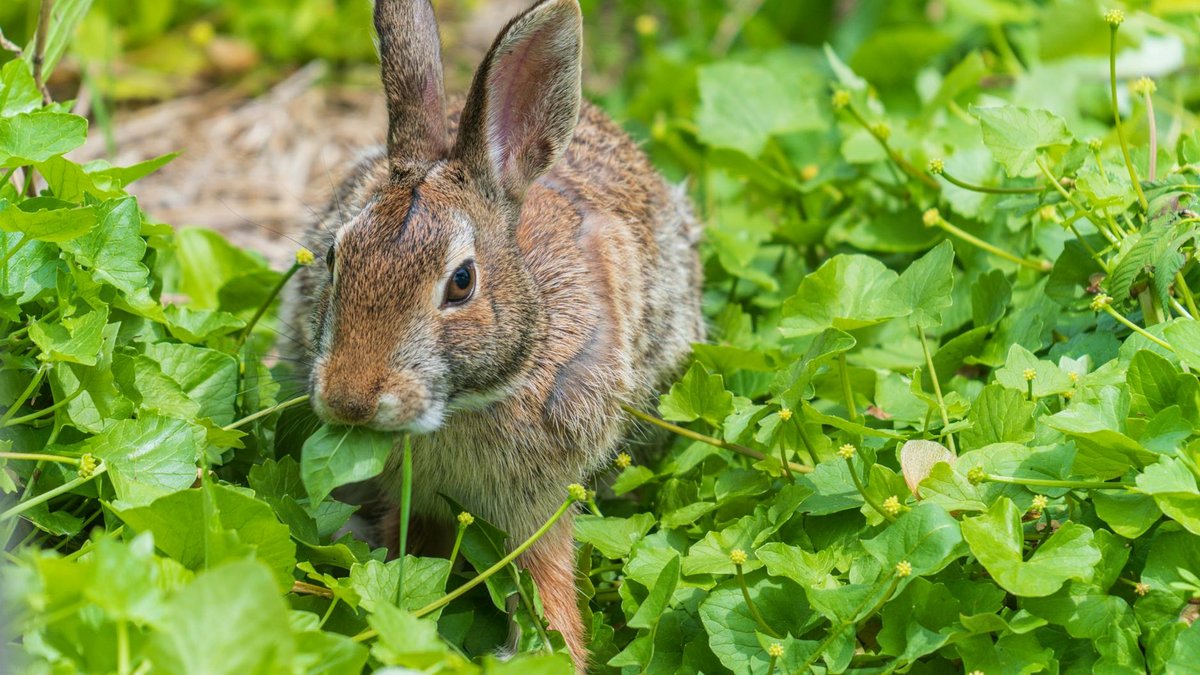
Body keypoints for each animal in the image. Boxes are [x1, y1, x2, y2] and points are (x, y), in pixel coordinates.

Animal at [284, 0, 703, 668]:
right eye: (333, 256)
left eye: (461, 282)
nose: (351, 401)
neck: (466, 404)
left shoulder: (539, 502)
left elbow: (546, 584)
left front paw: (555, 652)